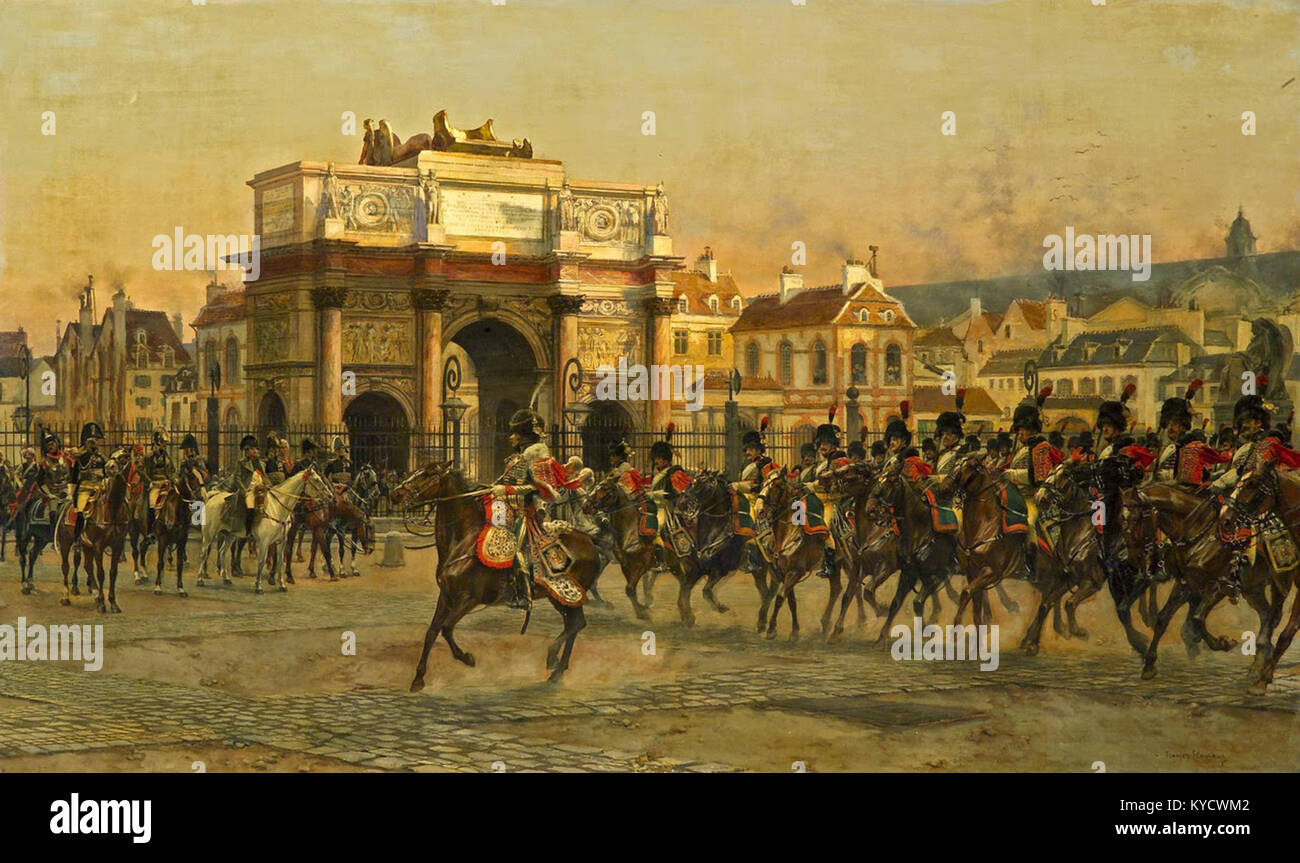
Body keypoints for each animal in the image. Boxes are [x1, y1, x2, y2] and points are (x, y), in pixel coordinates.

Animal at [197, 465, 332, 592]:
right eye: (316, 480)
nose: (330, 496)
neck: (277, 508)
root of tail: (213, 497)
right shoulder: (264, 542)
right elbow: (261, 562)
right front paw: (259, 586)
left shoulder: (281, 541)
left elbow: (280, 562)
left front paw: (282, 585)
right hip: (209, 534)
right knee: (204, 553)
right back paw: (200, 579)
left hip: (230, 535)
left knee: (222, 552)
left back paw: (226, 578)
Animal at [390, 462, 603, 691]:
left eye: (428, 474)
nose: (395, 493)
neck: (464, 540)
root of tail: (589, 541)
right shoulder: (446, 595)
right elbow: (432, 632)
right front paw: (418, 678)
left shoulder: (469, 599)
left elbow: (446, 628)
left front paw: (467, 658)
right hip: (557, 597)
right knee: (573, 624)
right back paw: (556, 663)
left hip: (567, 594)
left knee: (576, 624)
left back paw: (555, 665)